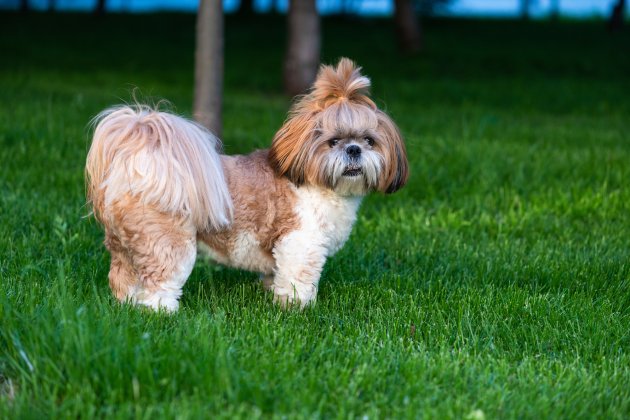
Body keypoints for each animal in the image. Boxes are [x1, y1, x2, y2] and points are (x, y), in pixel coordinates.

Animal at [85, 57, 410, 310]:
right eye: (333, 142)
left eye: (369, 140)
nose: (353, 149)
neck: (318, 186)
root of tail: (136, 169)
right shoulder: (301, 243)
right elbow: (298, 280)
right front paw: (297, 308)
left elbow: (276, 275)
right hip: (168, 242)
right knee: (159, 281)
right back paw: (161, 312)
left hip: (125, 246)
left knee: (122, 276)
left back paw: (127, 304)